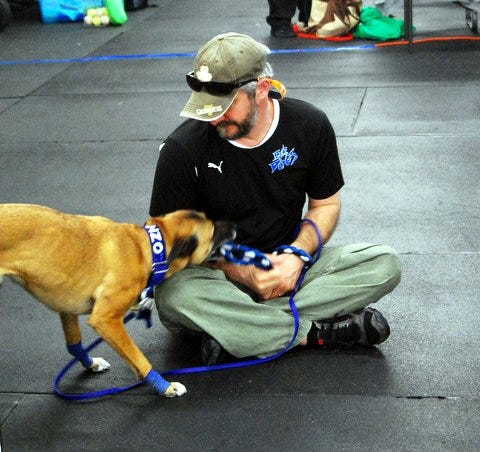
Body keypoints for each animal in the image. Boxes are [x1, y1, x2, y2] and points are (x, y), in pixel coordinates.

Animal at [0, 203, 236, 398]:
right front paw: (165, 386)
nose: (234, 225)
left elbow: (74, 345)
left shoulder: (67, 306)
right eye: (214, 232)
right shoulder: (106, 320)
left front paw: (91, 364)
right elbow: (138, 357)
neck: (145, 249)